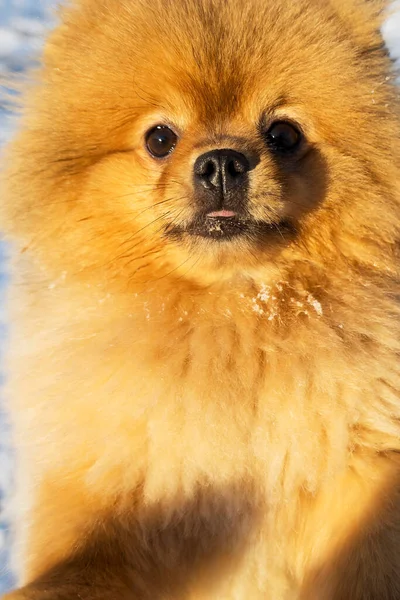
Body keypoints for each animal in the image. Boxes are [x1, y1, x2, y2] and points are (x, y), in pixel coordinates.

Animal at [0, 0, 400, 596]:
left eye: (284, 134)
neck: (231, 324)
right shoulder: (115, 484)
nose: (222, 162)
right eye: (159, 139)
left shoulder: (365, 470)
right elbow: (78, 564)